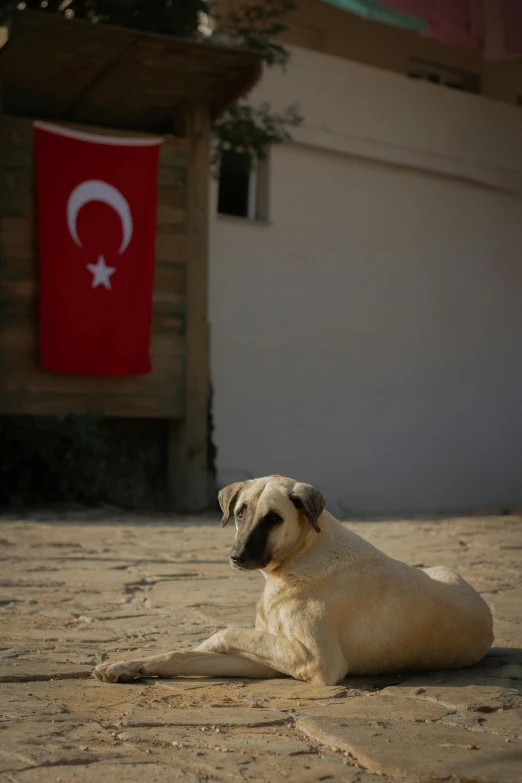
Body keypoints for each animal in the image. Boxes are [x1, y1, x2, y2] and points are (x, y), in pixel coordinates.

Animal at [92, 474, 492, 684]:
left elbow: (225, 633)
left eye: (273, 519)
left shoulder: (315, 660)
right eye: (240, 513)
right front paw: (128, 666)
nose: (236, 557)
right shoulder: (269, 656)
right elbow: (183, 655)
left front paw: (208, 641)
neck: (301, 559)